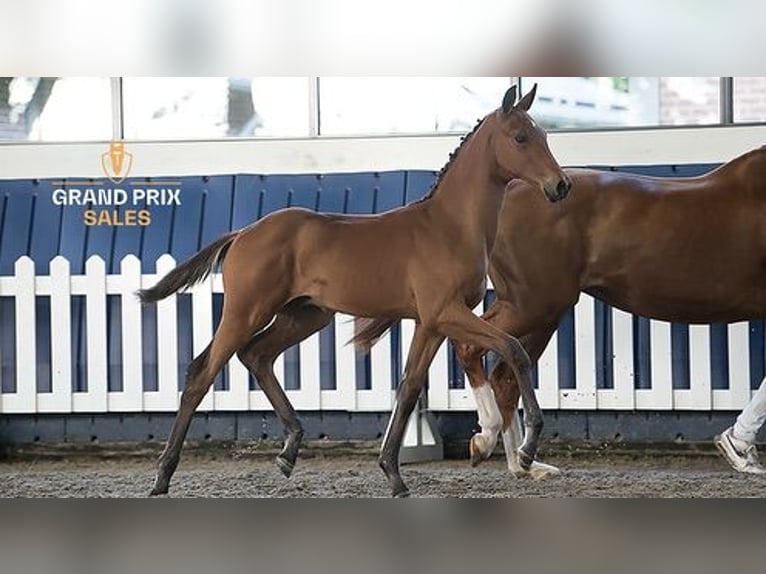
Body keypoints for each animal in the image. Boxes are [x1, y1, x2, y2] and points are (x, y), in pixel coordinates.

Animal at [137, 84, 572, 497]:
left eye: (545, 135)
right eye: (519, 138)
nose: (561, 185)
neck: (449, 227)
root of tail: (242, 233)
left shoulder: (432, 323)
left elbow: (409, 386)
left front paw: (394, 474)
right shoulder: (446, 313)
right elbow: (514, 350)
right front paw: (527, 446)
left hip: (305, 316)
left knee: (257, 355)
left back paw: (289, 450)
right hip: (246, 312)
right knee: (201, 372)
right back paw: (162, 477)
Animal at [449, 149, 766, 477]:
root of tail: (513, 188)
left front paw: (741, 451)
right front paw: (740, 450)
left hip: (539, 311)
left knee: (505, 375)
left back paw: (523, 462)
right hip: (532, 304)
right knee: (471, 346)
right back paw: (488, 440)